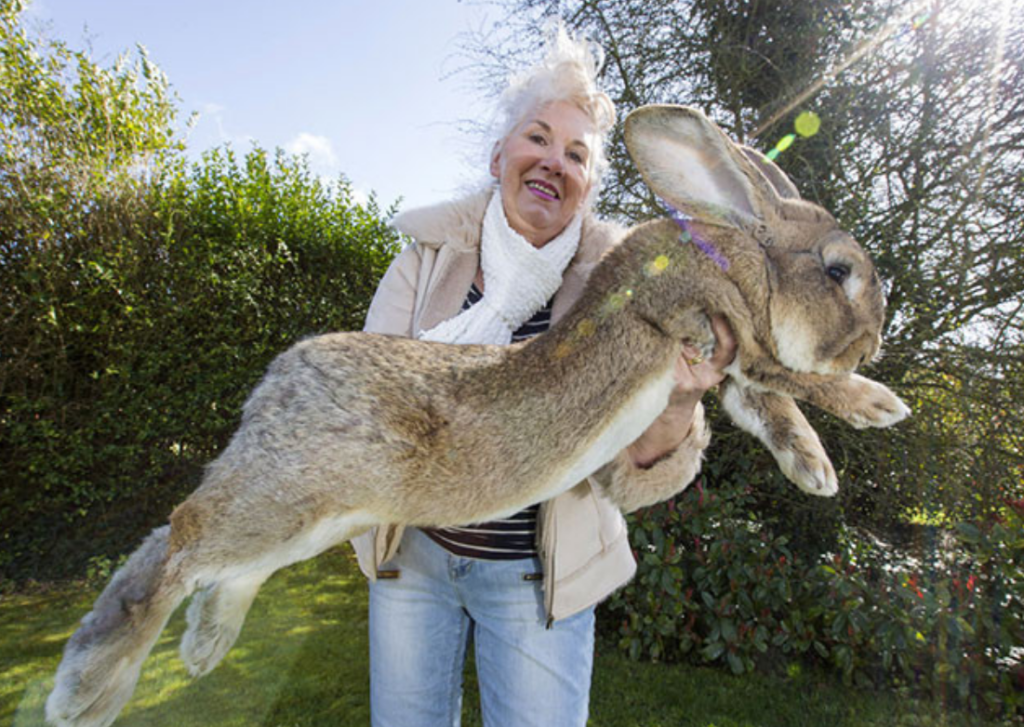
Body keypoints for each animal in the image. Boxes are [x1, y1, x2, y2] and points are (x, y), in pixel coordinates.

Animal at [46, 104, 909, 727]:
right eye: (839, 271)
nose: (875, 339)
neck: (738, 252)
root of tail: (274, 386)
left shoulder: (725, 367)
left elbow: (769, 406)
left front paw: (816, 470)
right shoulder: (712, 326)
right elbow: (789, 376)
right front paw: (875, 405)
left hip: (310, 516)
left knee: (210, 559)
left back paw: (199, 648)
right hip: (289, 495)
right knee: (180, 539)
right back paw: (87, 689)